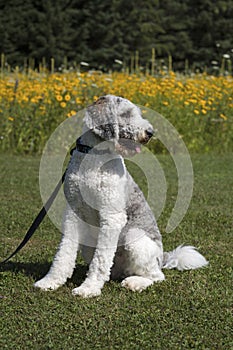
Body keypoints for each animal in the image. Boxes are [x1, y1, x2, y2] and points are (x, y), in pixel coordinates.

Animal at [34, 94, 208, 296]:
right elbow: (64, 253)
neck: (95, 156)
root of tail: (162, 258)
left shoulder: (111, 216)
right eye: (125, 114)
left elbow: (100, 259)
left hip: (133, 236)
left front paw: (88, 288)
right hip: (89, 243)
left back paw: (135, 282)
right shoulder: (73, 213)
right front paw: (50, 282)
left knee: (156, 276)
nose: (150, 133)